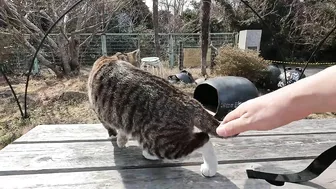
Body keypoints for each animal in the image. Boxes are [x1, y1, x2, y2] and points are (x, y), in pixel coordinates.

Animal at [88, 50, 232, 177]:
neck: (110, 59)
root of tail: (189, 101)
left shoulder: (99, 112)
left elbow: (110, 127)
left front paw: (115, 137)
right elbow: (123, 130)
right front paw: (121, 140)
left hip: (164, 143)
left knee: (204, 139)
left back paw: (210, 167)